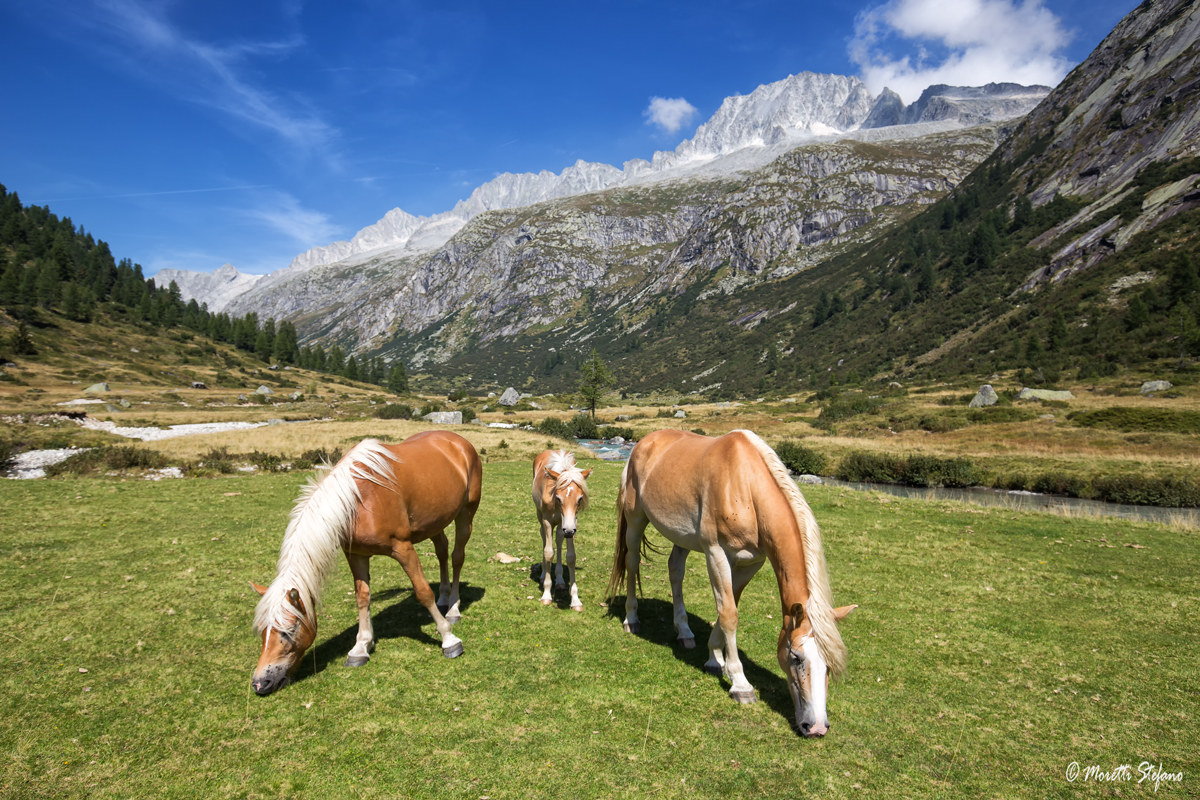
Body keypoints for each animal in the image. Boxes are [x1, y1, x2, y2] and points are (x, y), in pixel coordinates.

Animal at [250, 430, 482, 696]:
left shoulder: (403, 548)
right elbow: (362, 597)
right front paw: (360, 647)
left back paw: (453, 608)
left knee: (456, 557)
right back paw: (443, 597)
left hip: (466, 514)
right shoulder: (356, 555)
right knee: (442, 550)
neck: (357, 500)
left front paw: (448, 639)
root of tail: (458, 441)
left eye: (290, 630)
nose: (260, 682)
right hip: (435, 521)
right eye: (262, 630)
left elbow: (423, 591)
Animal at [531, 449, 592, 610]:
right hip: (541, 516)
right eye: (558, 498)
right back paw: (543, 575)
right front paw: (546, 595)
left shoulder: (572, 522)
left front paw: (575, 600)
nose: (569, 531)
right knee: (544, 538)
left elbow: (570, 556)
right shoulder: (547, 521)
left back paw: (559, 580)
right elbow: (548, 552)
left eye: (580, 499)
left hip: (561, 524)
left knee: (558, 539)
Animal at [606, 428, 855, 737]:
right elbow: (728, 614)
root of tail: (644, 442)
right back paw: (632, 619)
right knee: (631, 564)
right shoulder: (717, 553)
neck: (745, 488)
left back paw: (684, 632)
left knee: (675, 571)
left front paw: (715, 658)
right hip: (635, 518)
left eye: (829, 665)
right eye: (796, 657)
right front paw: (740, 683)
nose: (817, 726)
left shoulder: (751, 562)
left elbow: (728, 607)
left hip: (681, 536)